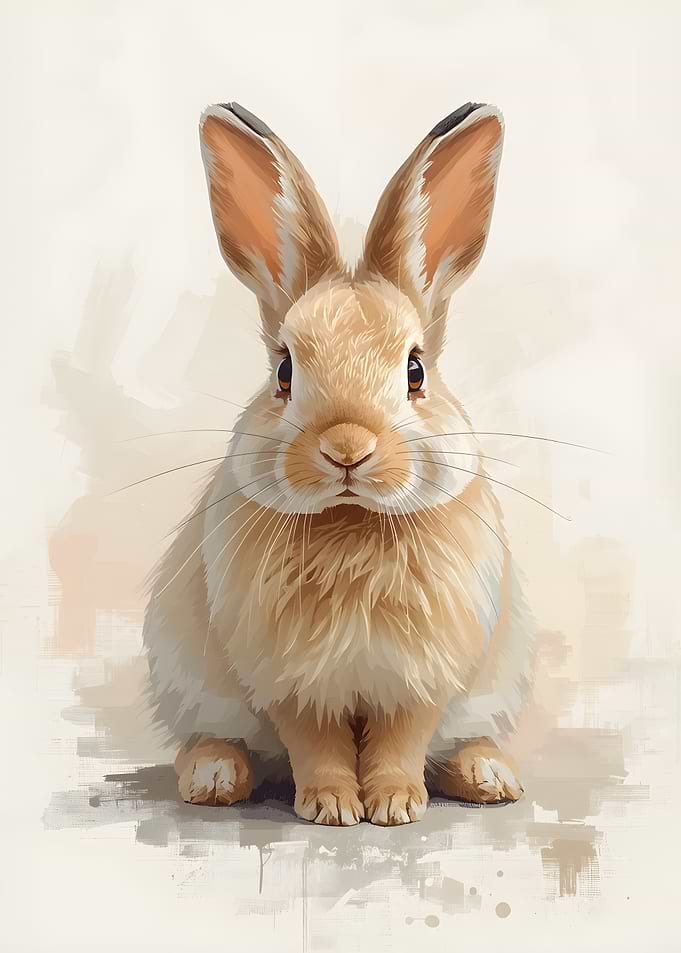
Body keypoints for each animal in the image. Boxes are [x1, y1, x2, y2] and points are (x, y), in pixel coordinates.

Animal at [143, 100, 535, 826]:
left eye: (414, 371)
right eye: (284, 371)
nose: (347, 448)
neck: (352, 523)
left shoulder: (422, 677)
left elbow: (402, 739)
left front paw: (395, 805)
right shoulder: (291, 682)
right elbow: (315, 743)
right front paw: (330, 805)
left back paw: (488, 773)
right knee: (210, 739)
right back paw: (214, 776)